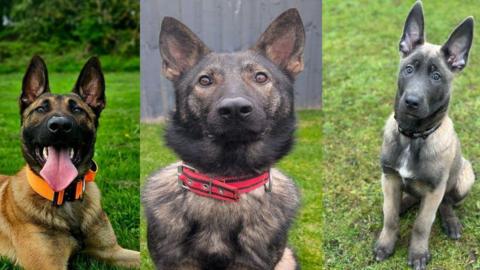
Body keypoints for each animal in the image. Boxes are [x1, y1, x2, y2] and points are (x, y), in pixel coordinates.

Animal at [0, 56, 141, 268]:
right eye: (41, 109)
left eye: (77, 109)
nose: (59, 126)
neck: (64, 196)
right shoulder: (48, 265)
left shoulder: (112, 251)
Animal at [374, 1, 474, 268]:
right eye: (408, 69)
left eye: (436, 76)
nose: (411, 102)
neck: (414, 136)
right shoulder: (389, 178)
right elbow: (390, 217)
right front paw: (386, 244)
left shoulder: (434, 190)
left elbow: (422, 224)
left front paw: (418, 253)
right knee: (405, 200)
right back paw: (403, 204)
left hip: (465, 176)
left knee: (447, 203)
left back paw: (451, 222)